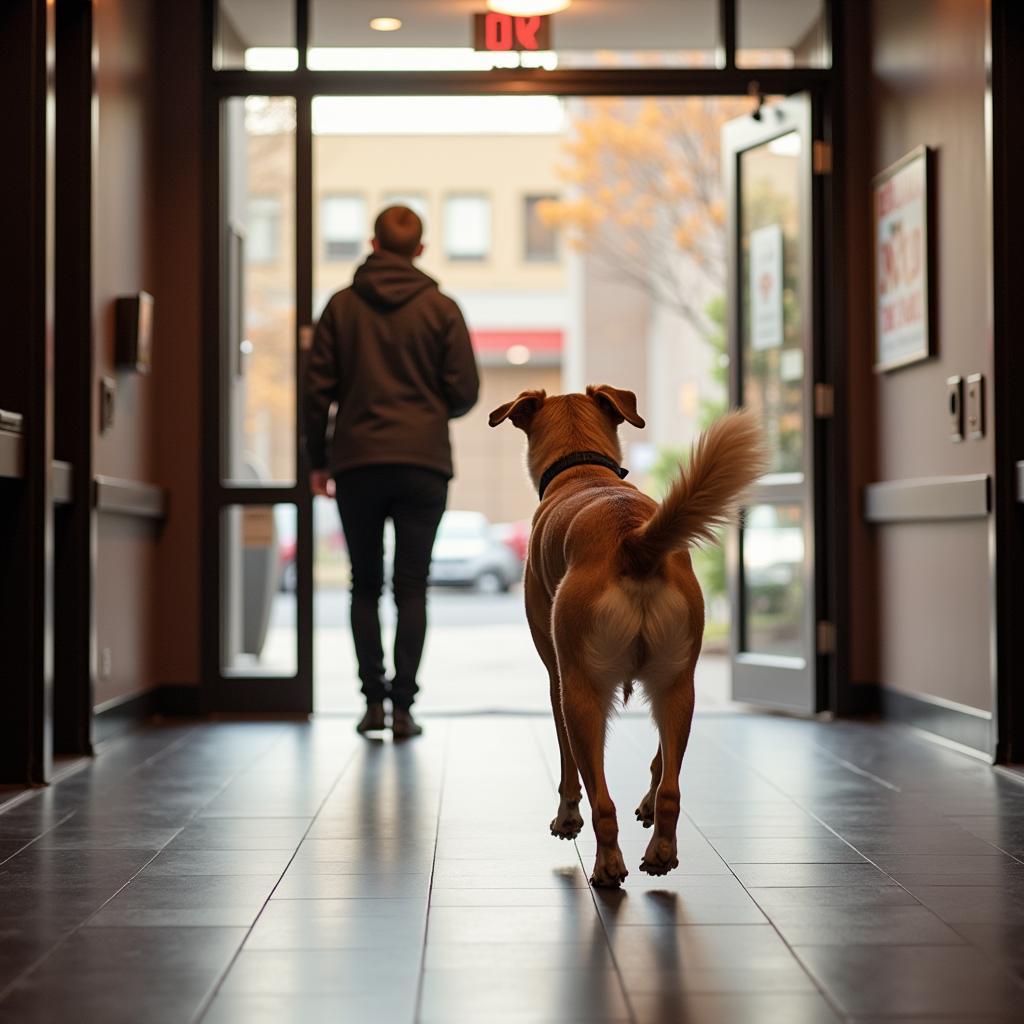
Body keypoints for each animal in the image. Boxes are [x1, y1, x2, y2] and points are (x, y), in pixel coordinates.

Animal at [489, 387, 770, 884]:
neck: (583, 468)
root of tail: (631, 544)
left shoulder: (556, 676)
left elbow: (566, 762)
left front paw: (566, 816)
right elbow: (661, 761)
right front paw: (649, 803)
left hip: (581, 692)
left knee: (601, 797)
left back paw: (607, 863)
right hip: (679, 683)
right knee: (672, 786)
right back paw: (660, 844)